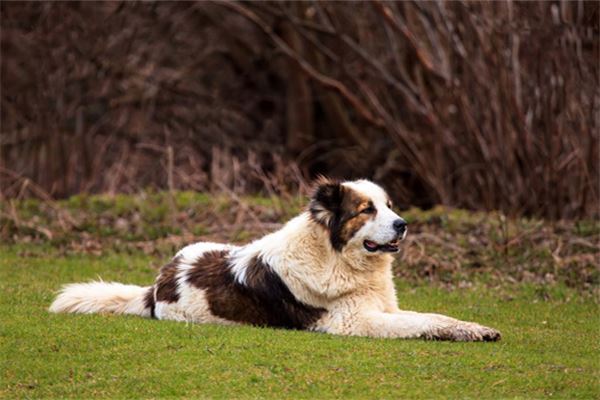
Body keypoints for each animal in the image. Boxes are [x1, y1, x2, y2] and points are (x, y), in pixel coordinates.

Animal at [50, 180, 502, 342]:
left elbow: (435, 315)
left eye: (389, 206)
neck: (335, 257)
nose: (403, 225)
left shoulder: (382, 308)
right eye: (366, 210)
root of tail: (158, 283)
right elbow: (420, 323)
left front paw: (473, 328)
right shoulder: (355, 322)